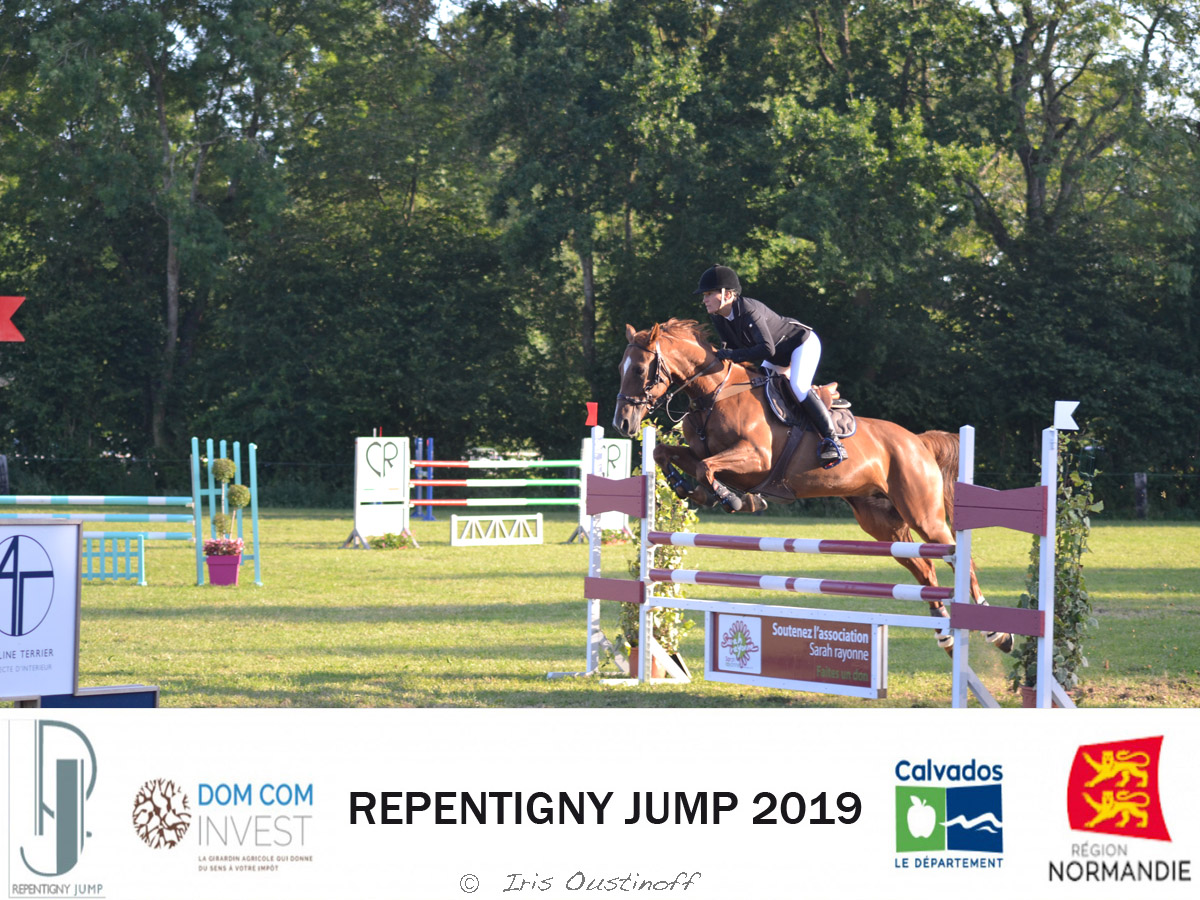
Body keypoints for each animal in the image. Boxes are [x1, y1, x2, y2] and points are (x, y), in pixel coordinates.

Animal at [612, 318, 1013, 655]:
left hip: (923, 514)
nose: (623, 424)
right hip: (883, 524)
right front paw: (687, 487)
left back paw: (997, 633)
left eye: (640, 369)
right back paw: (946, 637)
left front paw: (730, 499)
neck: (715, 394)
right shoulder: (702, 452)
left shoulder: (755, 458)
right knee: (925, 569)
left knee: (957, 557)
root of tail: (918, 442)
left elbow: (708, 469)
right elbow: (669, 454)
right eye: (621, 369)